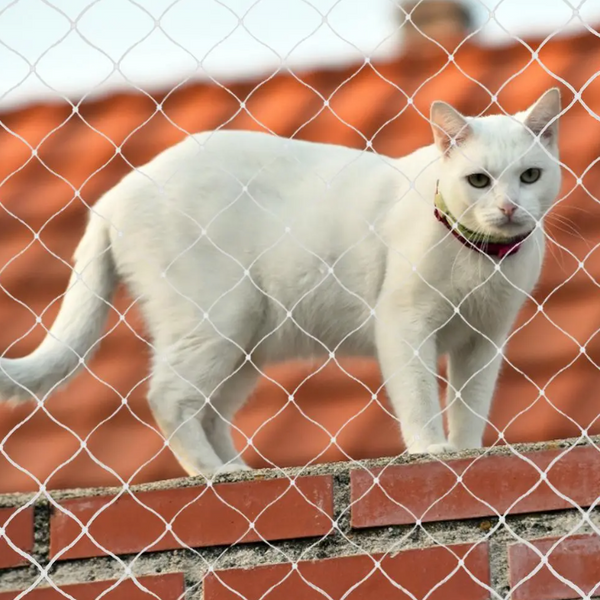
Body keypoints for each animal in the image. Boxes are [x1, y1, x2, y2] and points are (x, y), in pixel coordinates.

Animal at [1, 89, 564, 476]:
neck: (483, 261)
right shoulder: (405, 325)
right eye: (479, 181)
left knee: (207, 411)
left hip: (246, 344)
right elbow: (420, 396)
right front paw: (430, 449)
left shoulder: (484, 340)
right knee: (166, 397)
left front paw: (468, 452)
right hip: (218, 320)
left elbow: (471, 405)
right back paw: (211, 473)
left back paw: (237, 469)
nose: (509, 208)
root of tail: (116, 191)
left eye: (530, 176)